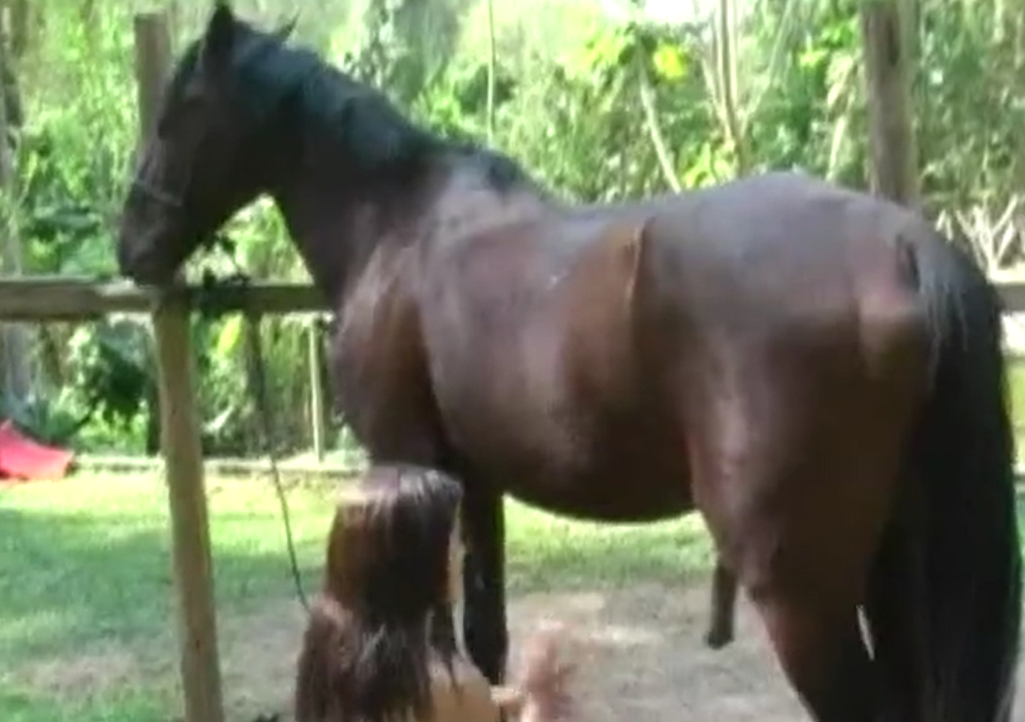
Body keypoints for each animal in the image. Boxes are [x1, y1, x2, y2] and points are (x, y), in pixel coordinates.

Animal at [114, 7, 1016, 721]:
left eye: (175, 114)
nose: (131, 246)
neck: (399, 229)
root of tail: (905, 246)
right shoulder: (472, 481)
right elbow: (483, 642)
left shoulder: (406, 459)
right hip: (892, 567)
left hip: (803, 595)